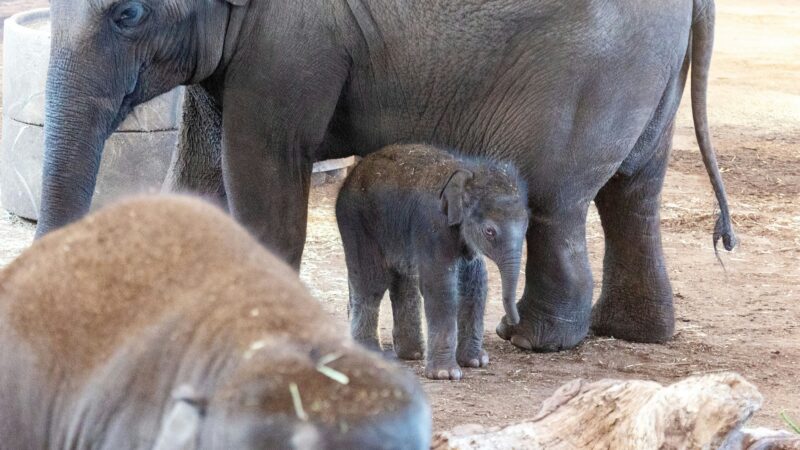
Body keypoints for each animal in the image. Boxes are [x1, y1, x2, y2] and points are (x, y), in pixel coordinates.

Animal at [37, 0, 736, 352]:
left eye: (128, 13)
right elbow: (200, 170)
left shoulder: (291, 46)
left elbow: (263, 171)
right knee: (632, 194)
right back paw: (630, 332)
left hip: (590, 72)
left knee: (555, 202)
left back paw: (533, 339)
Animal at [334, 144, 528, 380]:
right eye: (489, 232)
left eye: (527, 227)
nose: (511, 322)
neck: (468, 171)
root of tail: (354, 170)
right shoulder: (432, 225)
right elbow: (440, 286)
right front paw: (446, 374)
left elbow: (475, 283)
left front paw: (475, 361)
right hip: (357, 222)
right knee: (371, 282)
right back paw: (371, 353)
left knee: (402, 278)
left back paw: (412, 353)